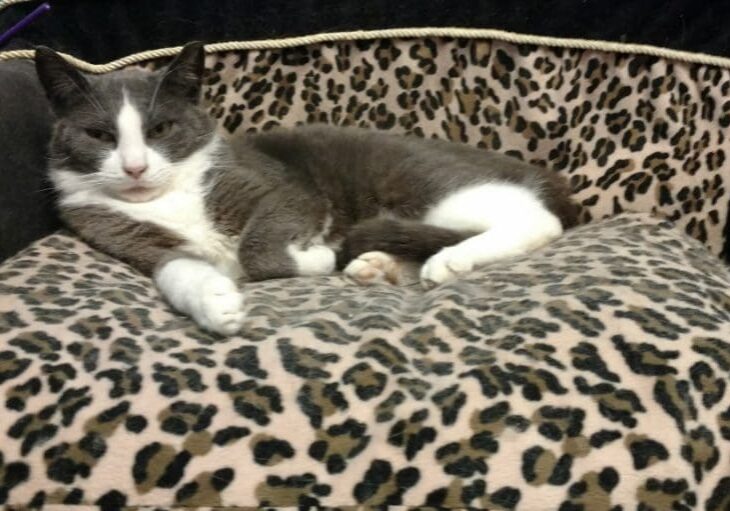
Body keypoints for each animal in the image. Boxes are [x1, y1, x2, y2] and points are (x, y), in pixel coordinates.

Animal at [35, 41, 576, 336]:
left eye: (161, 129)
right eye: (100, 136)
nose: (134, 168)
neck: (167, 199)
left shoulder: (277, 187)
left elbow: (259, 245)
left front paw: (314, 258)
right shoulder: (114, 232)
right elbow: (173, 267)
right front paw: (215, 304)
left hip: (426, 185)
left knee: (536, 219)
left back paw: (451, 258)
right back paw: (378, 267)